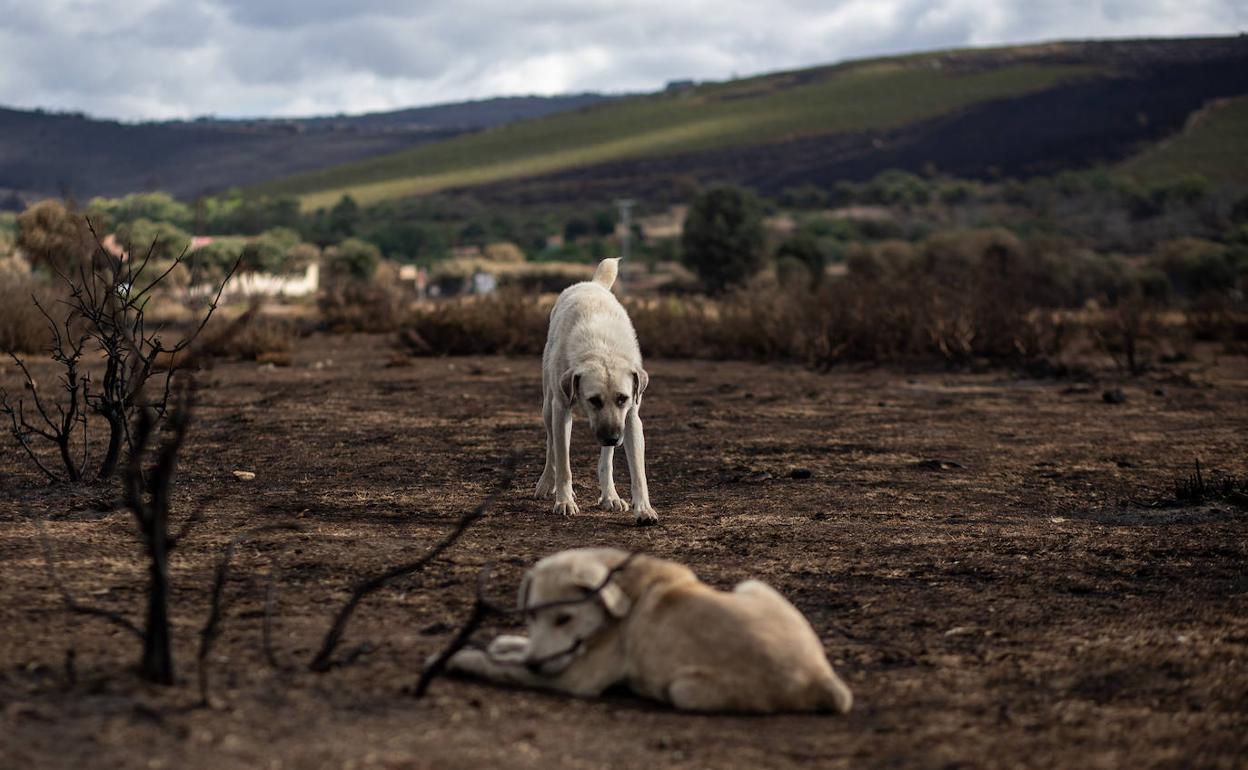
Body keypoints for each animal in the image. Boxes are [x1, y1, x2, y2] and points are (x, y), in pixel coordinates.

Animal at [434, 546, 853, 713]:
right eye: (530, 616)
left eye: (564, 618)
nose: (536, 664)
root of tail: (824, 680)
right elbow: (515, 650)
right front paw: (503, 643)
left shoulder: (574, 678)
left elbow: (501, 667)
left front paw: (460, 657)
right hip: (753, 585)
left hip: (685, 690)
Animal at [534, 255, 658, 526]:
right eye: (594, 400)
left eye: (622, 398)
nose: (612, 438)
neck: (602, 351)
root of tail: (592, 284)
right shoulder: (561, 410)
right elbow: (564, 463)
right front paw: (564, 500)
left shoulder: (630, 418)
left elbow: (638, 472)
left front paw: (643, 509)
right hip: (548, 407)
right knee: (551, 448)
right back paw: (547, 483)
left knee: (606, 461)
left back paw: (610, 495)